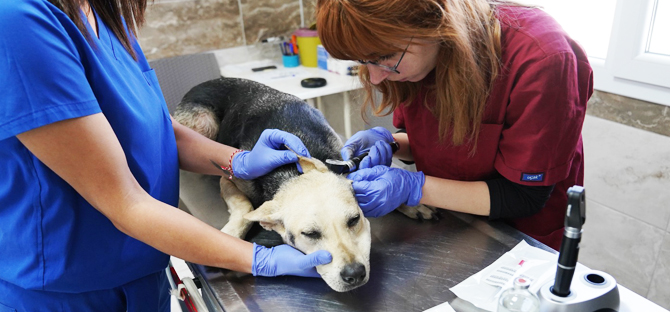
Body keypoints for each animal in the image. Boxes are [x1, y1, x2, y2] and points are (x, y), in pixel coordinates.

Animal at [173, 77, 372, 292]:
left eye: (354, 220)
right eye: (310, 234)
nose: (355, 273)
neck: (293, 173)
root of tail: (204, 83)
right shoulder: (228, 178)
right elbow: (246, 208)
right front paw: (228, 235)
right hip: (203, 123)